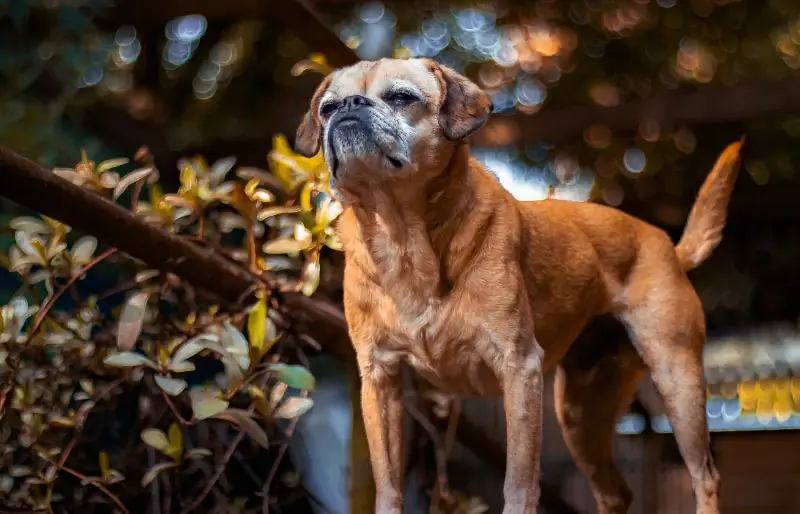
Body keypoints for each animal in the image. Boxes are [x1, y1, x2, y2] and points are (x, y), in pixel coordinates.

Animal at [296, 57, 744, 512]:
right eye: (327, 109)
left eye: (401, 97)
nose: (349, 105)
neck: (403, 238)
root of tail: (669, 246)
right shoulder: (380, 379)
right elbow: (387, 486)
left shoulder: (519, 369)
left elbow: (519, 482)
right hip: (581, 414)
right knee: (616, 493)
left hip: (677, 380)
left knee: (704, 476)